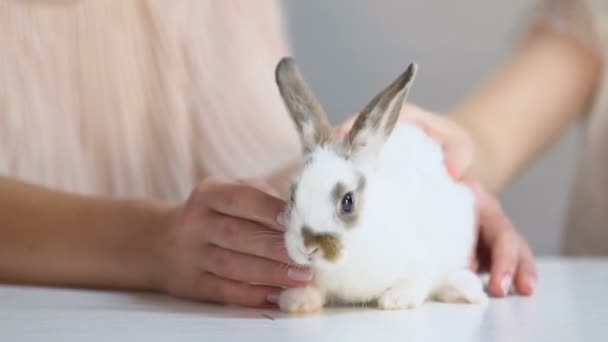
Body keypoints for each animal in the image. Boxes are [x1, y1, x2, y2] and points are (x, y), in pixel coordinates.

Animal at [274, 55, 486, 312]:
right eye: (292, 197)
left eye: (348, 201)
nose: (308, 248)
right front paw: (296, 300)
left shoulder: (423, 258)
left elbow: (418, 279)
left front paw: (397, 299)